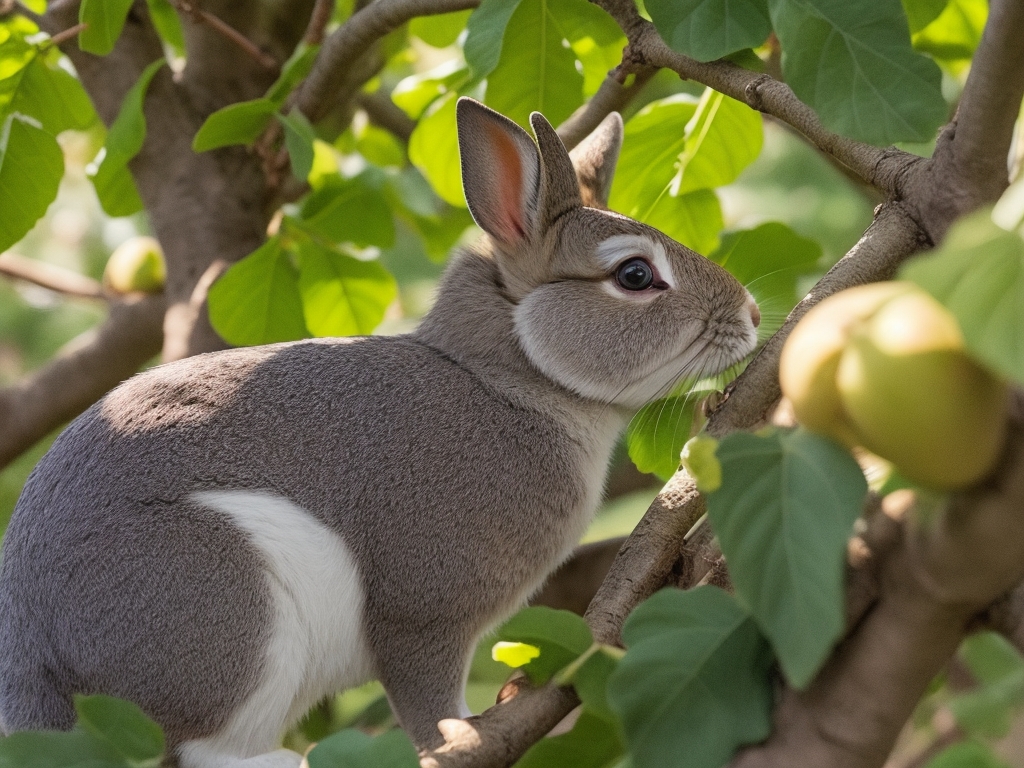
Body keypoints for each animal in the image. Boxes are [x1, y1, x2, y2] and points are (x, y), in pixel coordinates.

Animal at [0, 99, 761, 765]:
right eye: (634, 274)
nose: (753, 315)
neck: (505, 380)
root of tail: (34, 659)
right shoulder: (426, 618)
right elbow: (428, 705)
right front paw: (460, 738)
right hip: (228, 608)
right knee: (197, 747)